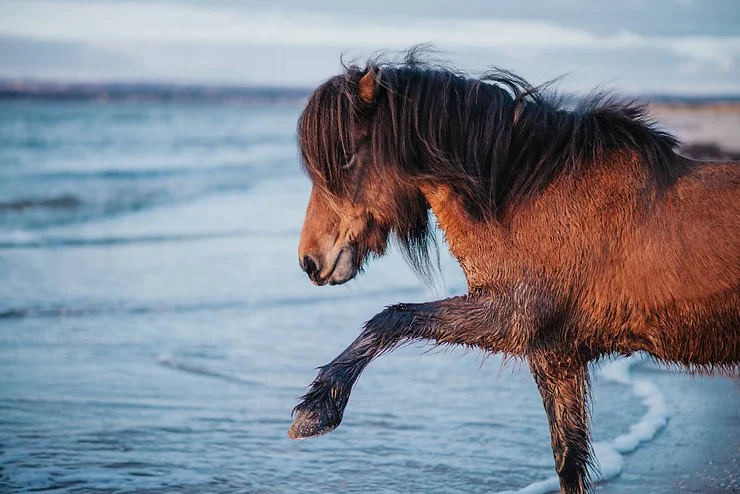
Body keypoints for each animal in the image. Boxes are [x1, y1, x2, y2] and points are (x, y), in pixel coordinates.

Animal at [286, 51, 736, 494]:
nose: (310, 261)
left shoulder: (512, 317)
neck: (528, 195)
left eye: (345, 158)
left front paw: (317, 409)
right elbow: (568, 461)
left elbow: (391, 318)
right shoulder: (556, 356)